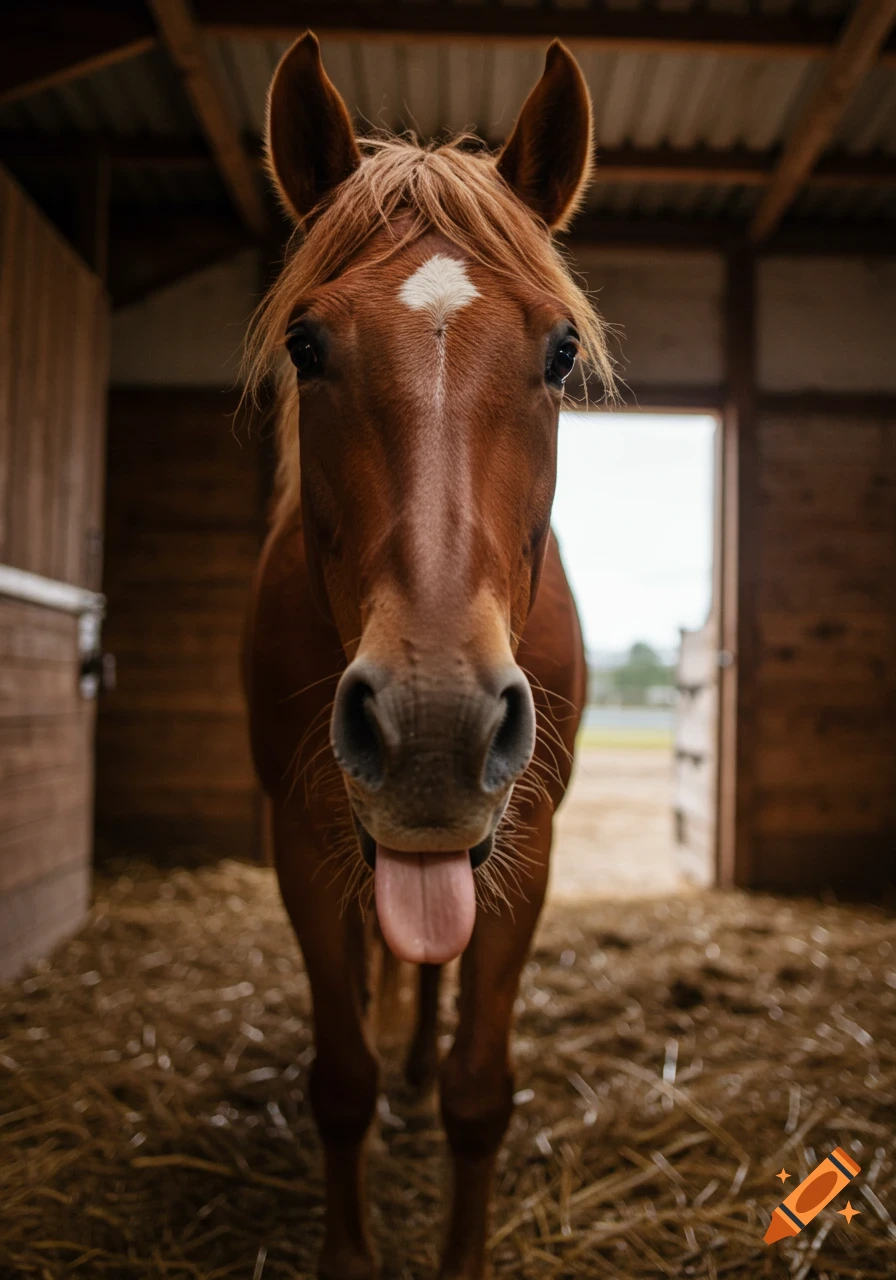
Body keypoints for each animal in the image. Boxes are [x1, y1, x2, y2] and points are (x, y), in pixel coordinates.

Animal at [242, 32, 612, 1280]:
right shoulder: (304, 841)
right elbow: (339, 1075)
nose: (434, 726)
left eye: (558, 349)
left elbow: (476, 1087)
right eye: (306, 342)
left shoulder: (525, 844)